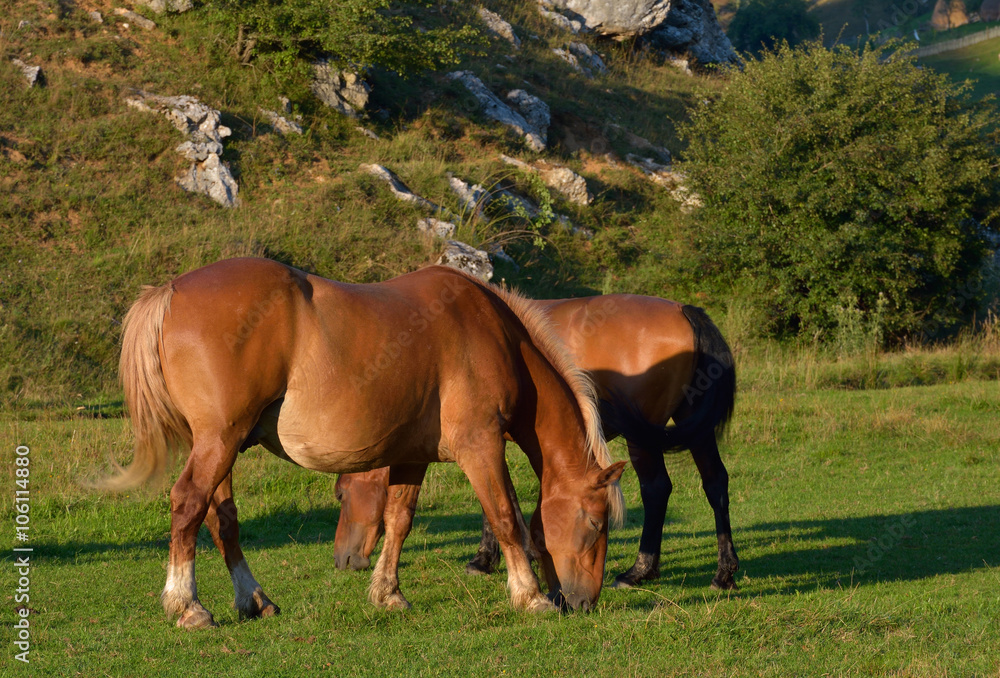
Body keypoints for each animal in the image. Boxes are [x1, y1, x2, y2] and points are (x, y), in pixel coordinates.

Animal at [106, 258, 626, 628]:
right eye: (596, 523)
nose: (583, 602)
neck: (493, 332)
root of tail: (171, 290)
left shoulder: (413, 457)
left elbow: (399, 522)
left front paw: (387, 593)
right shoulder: (481, 446)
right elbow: (505, 517)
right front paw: (531, 596)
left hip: (223, 446)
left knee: (221, 519)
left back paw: (254, 599)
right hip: (219, 441)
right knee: (187, 503)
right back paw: (187, 606)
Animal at [334, 294, 739, 590]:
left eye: (340, 495)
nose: (343, 559)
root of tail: (684, 310)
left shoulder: (486, 439)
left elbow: (499, 501)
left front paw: (493, 558)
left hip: (646, 437)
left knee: (657, 489)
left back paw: (640, 570)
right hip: (692, 425)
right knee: (715, 483)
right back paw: (724, 572)